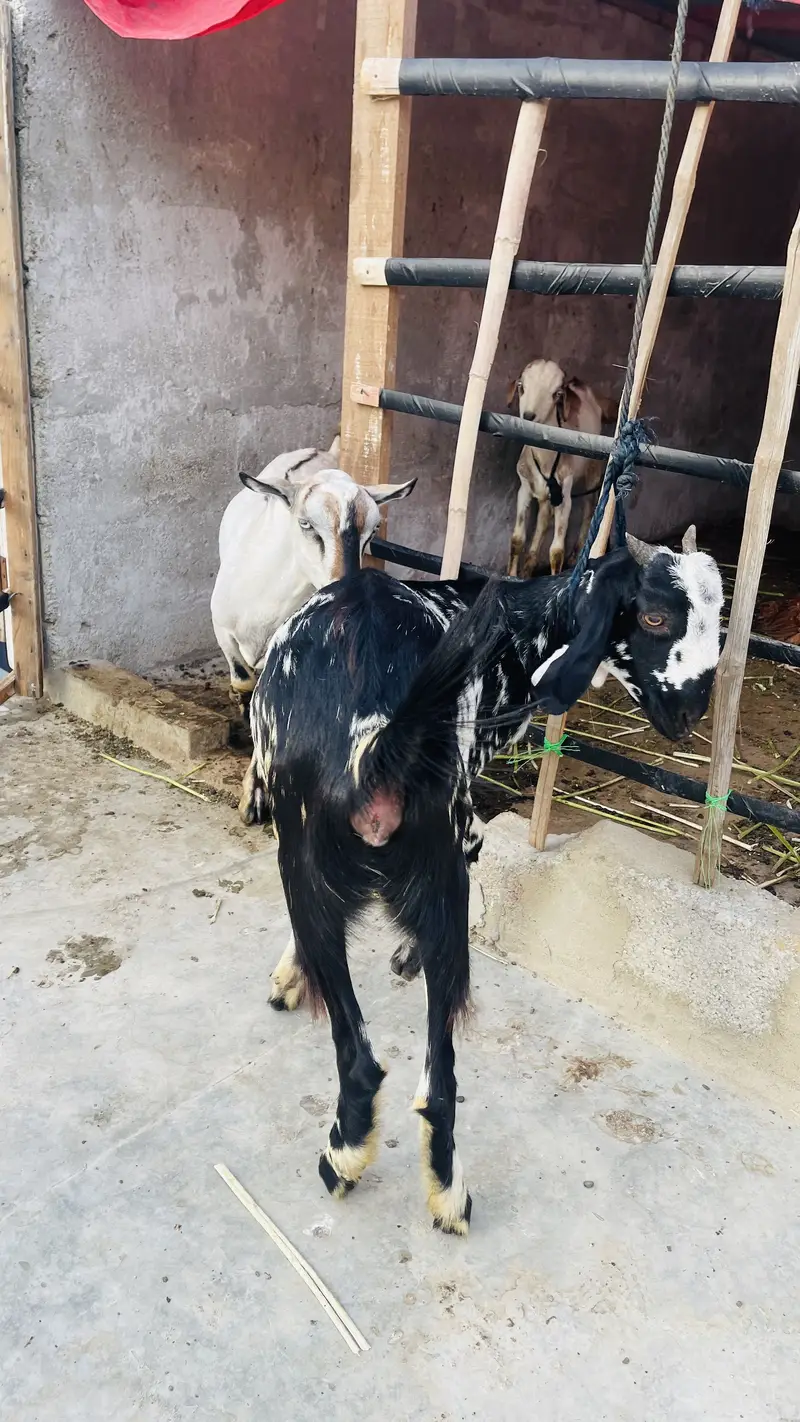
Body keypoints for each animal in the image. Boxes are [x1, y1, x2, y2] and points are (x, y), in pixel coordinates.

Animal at [247, 525, 723, 1235]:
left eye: (718, 618)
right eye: (655, 617)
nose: (689, 712)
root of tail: (373, 747)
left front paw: (298, 974)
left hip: (350, 860)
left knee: (376, 1064)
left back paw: (355, 1163)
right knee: (424, 1078)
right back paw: (440, 1191)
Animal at [507, 359, 615, 578]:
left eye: (556, 393)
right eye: (521, 386)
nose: (528, 416)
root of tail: (581, 386)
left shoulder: (564, 495)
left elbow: (556, 551)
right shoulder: (525, 488)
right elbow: (517, 538)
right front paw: (512, 575)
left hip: (593, 470)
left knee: (589, 508)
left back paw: (575, 555)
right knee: (543, 518)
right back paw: (528, 566)